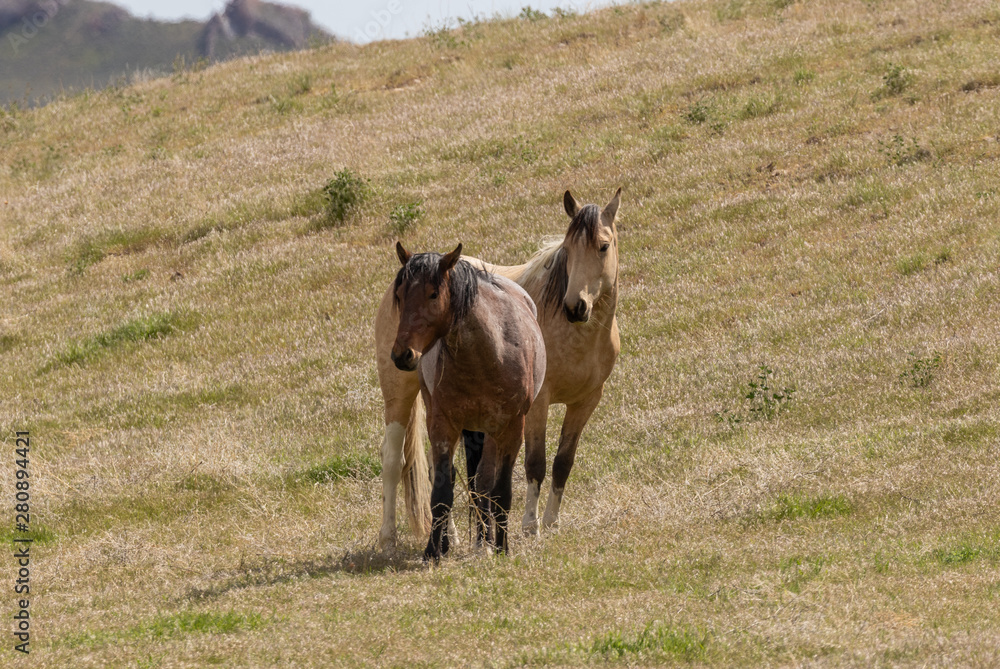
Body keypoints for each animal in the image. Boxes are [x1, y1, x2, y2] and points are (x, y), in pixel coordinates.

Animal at [388, 242, 545, 558]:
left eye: (433, 294)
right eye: (399, 295)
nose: (402, 354)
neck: (489, 353)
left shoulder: (511, 428)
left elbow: (500, 490)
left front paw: (502, 547)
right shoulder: (443, 426)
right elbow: (442, 491)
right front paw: (433, 551)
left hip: (491, 432)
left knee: (483, 483)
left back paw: (487, 541)